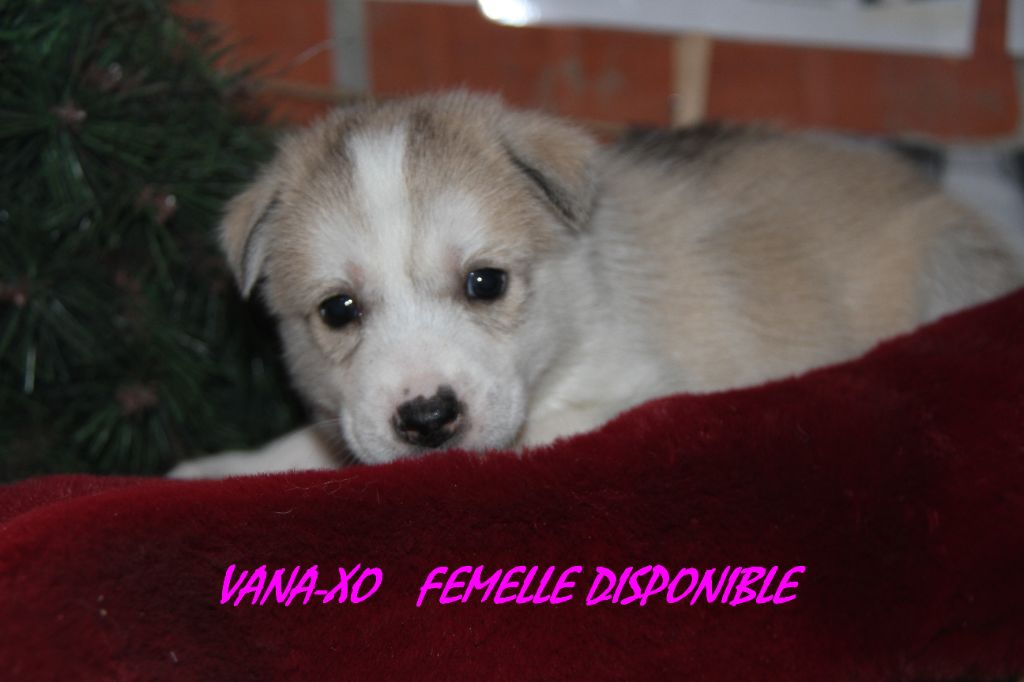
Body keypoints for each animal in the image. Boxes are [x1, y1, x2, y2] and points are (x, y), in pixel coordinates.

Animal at [169, 91, 1023, 478]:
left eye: (485, 283)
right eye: (339, 310)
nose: (428, 418)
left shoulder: (632, 392)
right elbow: (315, 445)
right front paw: (217, 469)